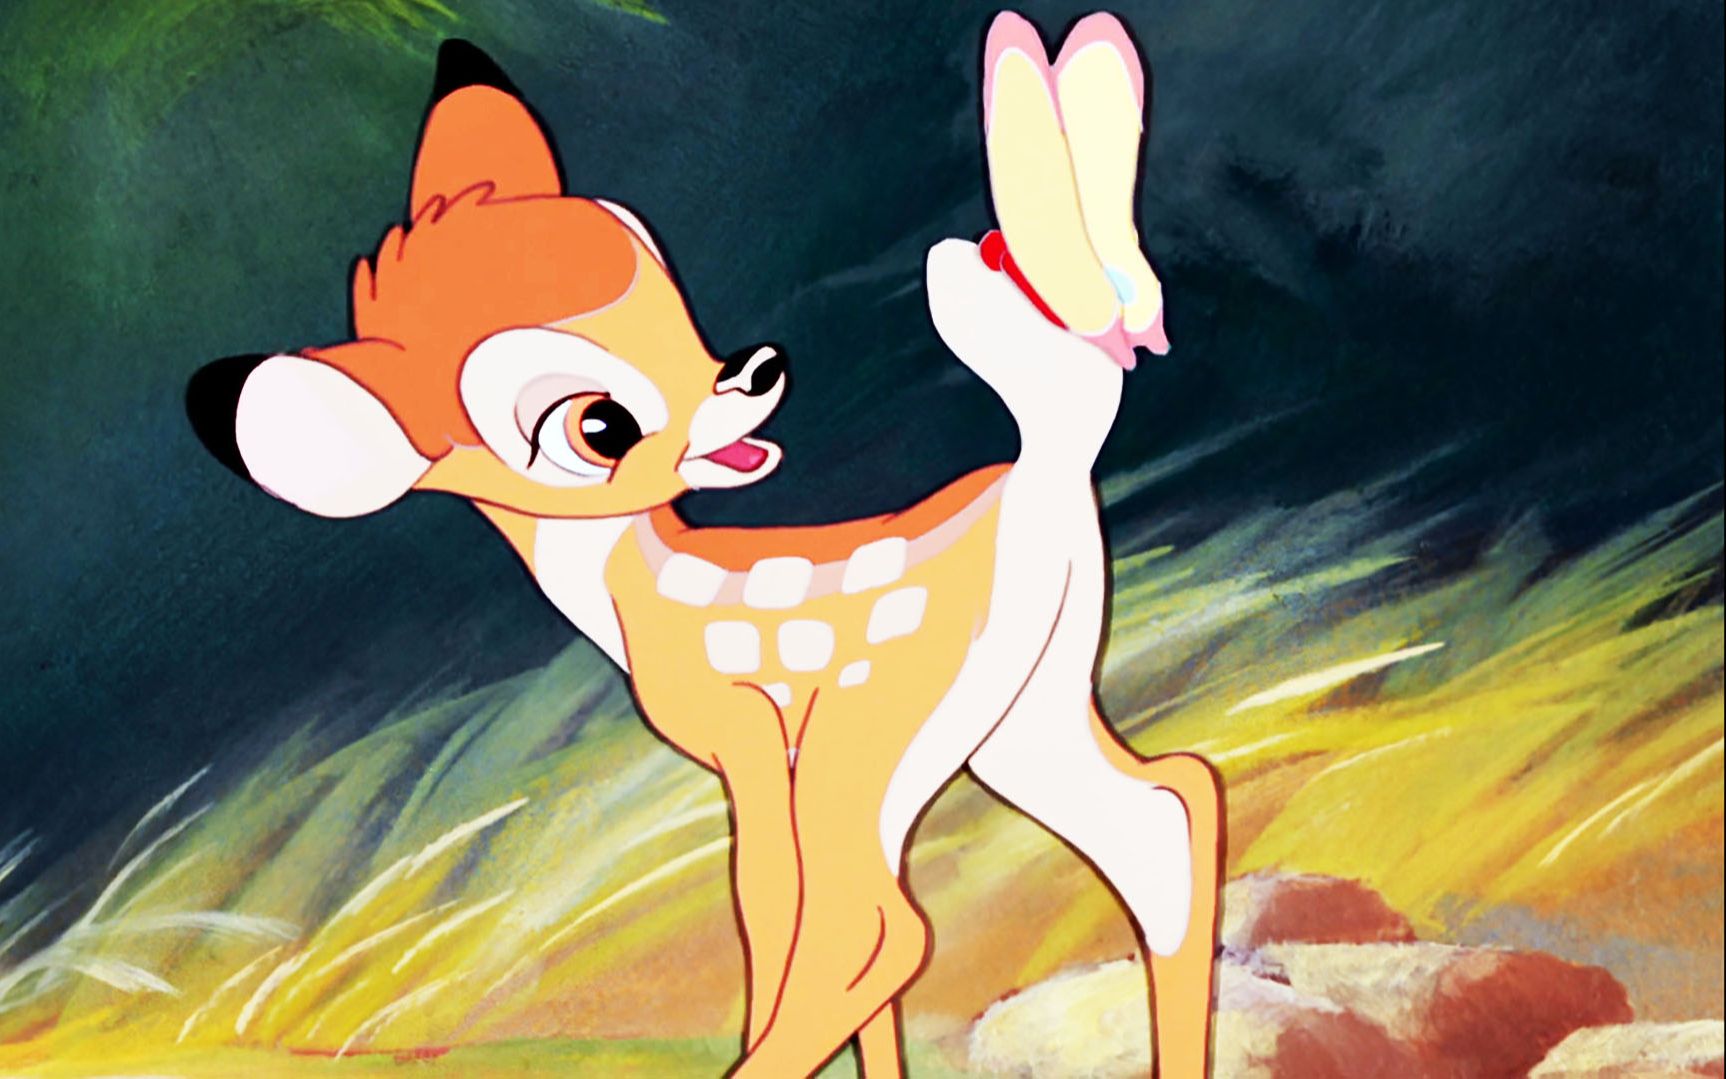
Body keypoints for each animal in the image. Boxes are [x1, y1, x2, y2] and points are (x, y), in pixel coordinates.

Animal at [185, 12, 1221, 1077]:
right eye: (600, 425)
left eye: (675, 308)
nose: (757, 366)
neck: (631, 591)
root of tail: (1048, 465)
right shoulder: (760, 758)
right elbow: (770, 923)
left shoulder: (747, 735)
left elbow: (773, 914)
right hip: (1020, 716)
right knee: (1166, 808)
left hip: (882, 722)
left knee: (888, 922)